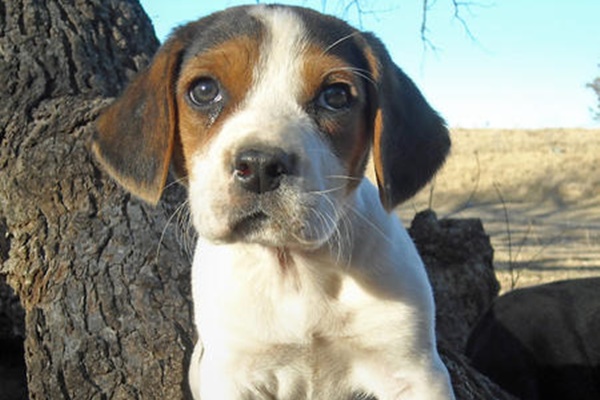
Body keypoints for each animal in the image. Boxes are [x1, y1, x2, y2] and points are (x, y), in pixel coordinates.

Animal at [92, 3, 454, 400]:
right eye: (204, 90)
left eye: (336, 96)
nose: (260, 166)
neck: (293, 268)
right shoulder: (232, 373)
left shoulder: (414, 371)